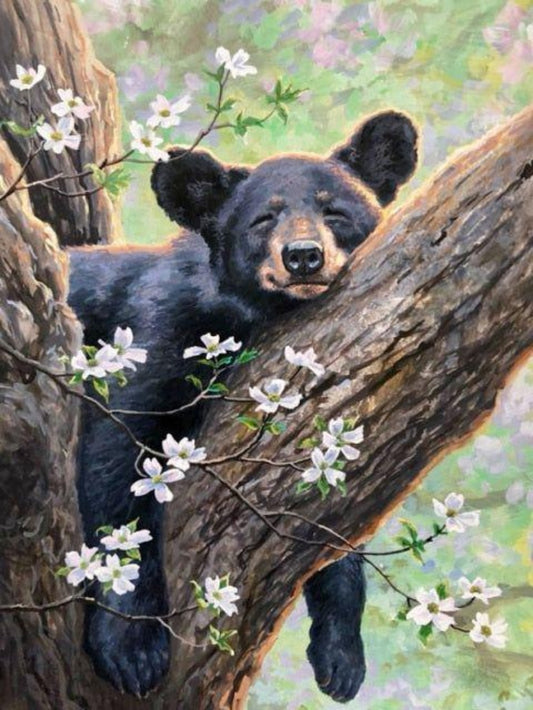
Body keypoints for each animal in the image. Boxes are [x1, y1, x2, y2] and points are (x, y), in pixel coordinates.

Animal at [68, 110, 418, 701]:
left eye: (335, 211)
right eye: (262, 220)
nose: (303, 256)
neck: (251, 314)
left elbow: (334, 511)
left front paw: (341, 655)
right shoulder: (158, 332)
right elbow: (117, 460)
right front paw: (132, 648)